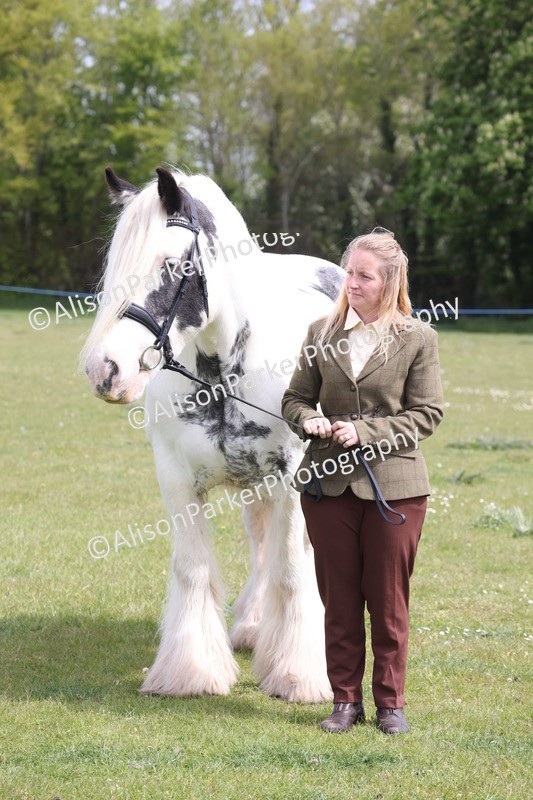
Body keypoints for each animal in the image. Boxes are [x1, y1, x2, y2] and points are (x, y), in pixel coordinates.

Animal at [82, 166, 345, 702]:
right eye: (114, 267)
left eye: (169, 265)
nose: (104, 369)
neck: (223, 373)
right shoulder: (176, 480)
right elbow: (193, 569)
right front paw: (191, 671)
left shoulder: (293, 478)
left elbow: (292, 569)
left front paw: (298, 675)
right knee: (262, 546)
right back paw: (252, 626)